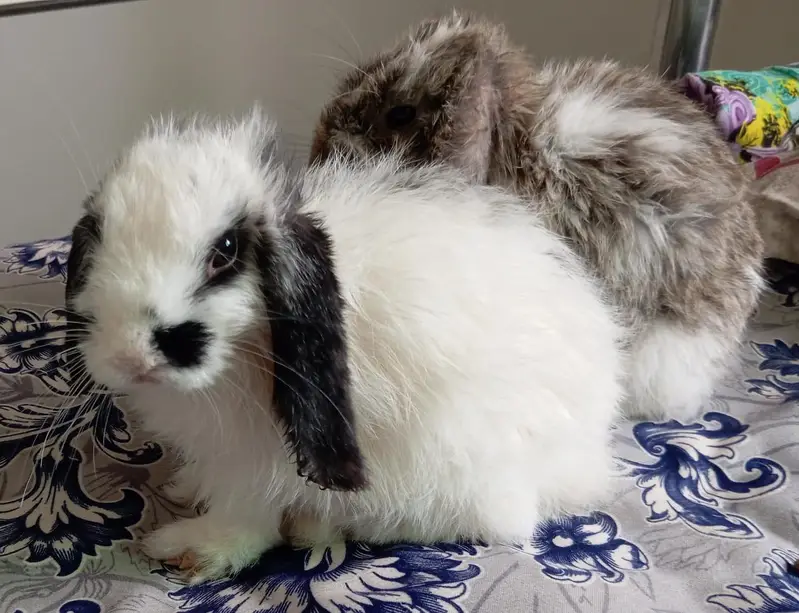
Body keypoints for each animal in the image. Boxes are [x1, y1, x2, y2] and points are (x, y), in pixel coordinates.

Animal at [64, 108, 625, 582]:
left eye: (225, 251)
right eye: (97, 235)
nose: (131, 357)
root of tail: (586, 460)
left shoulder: (254, 467)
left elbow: (245, 522)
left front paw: (190, 551)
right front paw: (182, 488)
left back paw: (320, 526)